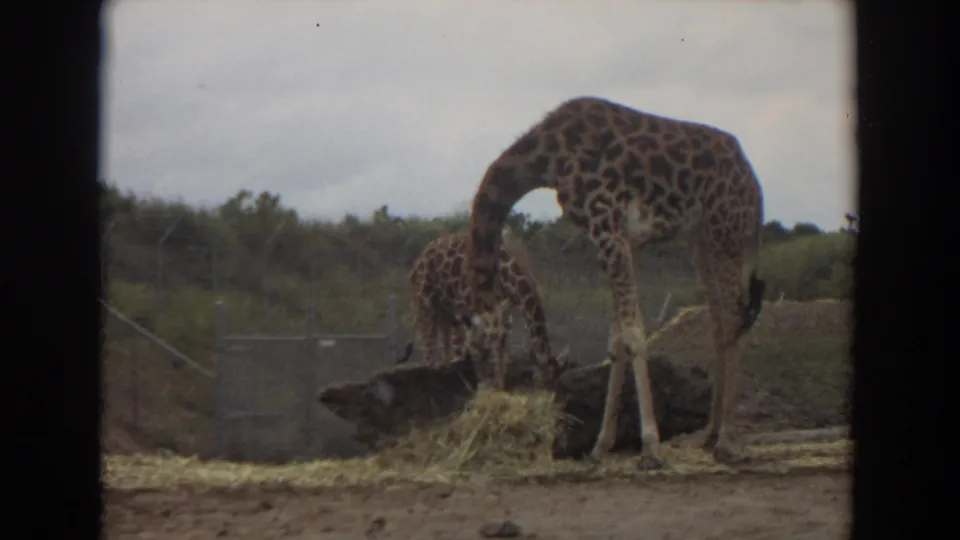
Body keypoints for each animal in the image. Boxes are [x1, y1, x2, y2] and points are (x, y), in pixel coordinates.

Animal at [404, 232, 571, 389]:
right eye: (545, 380)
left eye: (558, 379)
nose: (548, 393)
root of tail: (416, 264)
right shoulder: (480, 309)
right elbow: (489, 345)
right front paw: (493, 383)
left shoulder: (503, 309)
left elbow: (500, 345)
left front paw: (499, 382)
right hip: (424, 304)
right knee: (429, 345)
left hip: (445, 310)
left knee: (445, 341)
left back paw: (446, 369)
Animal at [464, 96, 766, 469]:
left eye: (481, 351)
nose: (487, 398)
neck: (548, 157)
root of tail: (754, 185)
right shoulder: (612, 239)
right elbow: (616, 340)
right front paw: (600, 446)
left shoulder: (608, 226)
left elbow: (634, 334)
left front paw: (650, 447)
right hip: (702, 242)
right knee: (722, 322)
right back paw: (707, 436)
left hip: (724, 233)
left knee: (734, 319)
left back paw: (726, 441)